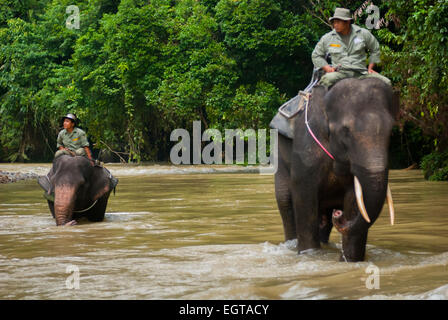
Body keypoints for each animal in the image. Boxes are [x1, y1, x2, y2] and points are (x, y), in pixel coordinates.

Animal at [274, 78, 398, 262]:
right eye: (345, 131)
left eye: (391, 132)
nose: (339, 214)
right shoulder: (306, 150)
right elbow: (304, 198)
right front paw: (310, 254)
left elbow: (355, 199)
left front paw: (348, 261)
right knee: (286, 203)